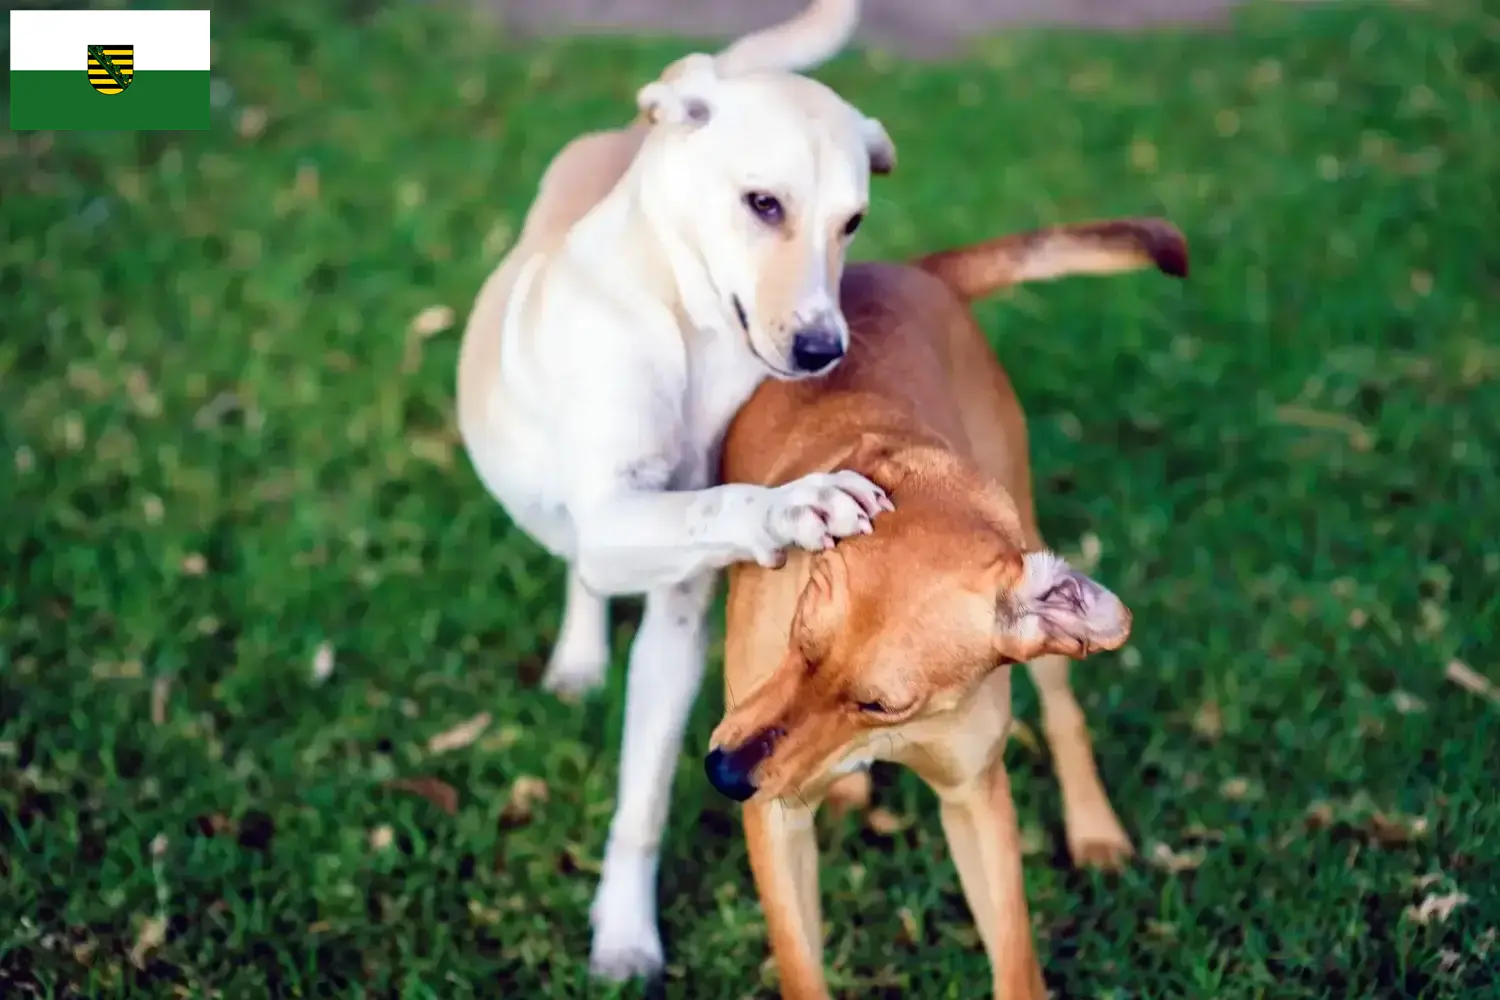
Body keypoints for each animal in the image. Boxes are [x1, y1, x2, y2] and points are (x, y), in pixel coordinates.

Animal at [456, 0, 894, 983]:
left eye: (852, 221)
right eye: (763, 203)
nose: (823, 348)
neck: (692, 331)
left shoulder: (678, 618)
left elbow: (645, 801)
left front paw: (623, 927)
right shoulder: (620, 520)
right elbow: (709, 506)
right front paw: (795, 504)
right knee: (578, 565)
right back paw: (579, 657)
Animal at [702, 218, 1182, 995]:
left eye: (880, 704)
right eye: (800, 636)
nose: (723, 774)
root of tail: (912, 271)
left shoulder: (975, 798)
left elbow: (1016, 961)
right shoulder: (776, 822)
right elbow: (802, 969)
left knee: (1064, 710)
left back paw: (1094, 827)